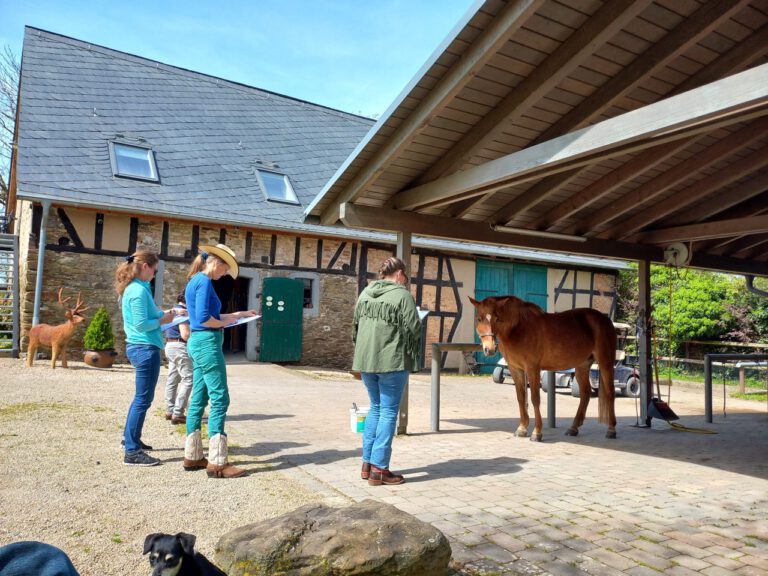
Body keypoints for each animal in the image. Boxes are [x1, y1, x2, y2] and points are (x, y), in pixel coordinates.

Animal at [468, 296, 616, 440]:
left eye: (497, 318)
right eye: (479, 318)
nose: (490, 349)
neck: (519, 329)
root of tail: (605, 320)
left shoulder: (532, 368)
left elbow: (535, 399)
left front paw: (536, 432)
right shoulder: (515, 369)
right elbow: (521, 398)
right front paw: (522, 429)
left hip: (605, 362)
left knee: (610, 393)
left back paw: (611, 430)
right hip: (582, 366)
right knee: (585, 394)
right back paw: (573, 428)